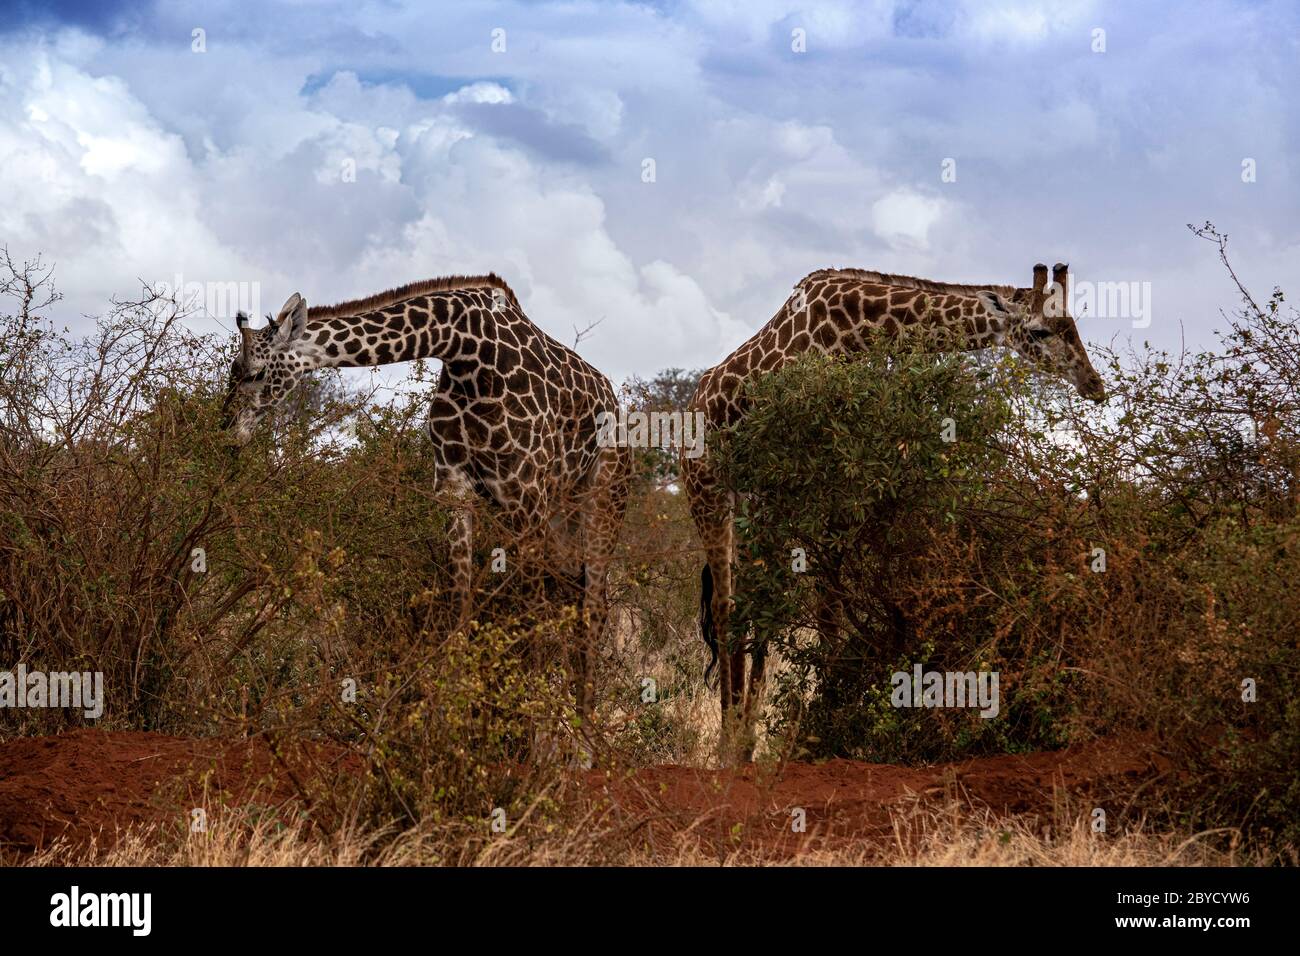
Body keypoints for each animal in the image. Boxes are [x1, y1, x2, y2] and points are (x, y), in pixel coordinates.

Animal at [219, 277, 634, 717]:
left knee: (593, 606)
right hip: (560, 514)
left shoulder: (524, 489)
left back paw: (585, 728)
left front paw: (531, 721)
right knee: (575, 597)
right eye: (233, 371)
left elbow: (532, 610)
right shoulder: (454, 484)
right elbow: (459, 604)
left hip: (603, 497)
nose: (227, 432)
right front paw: (451, 711)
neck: (464, 349)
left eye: (255, 373)